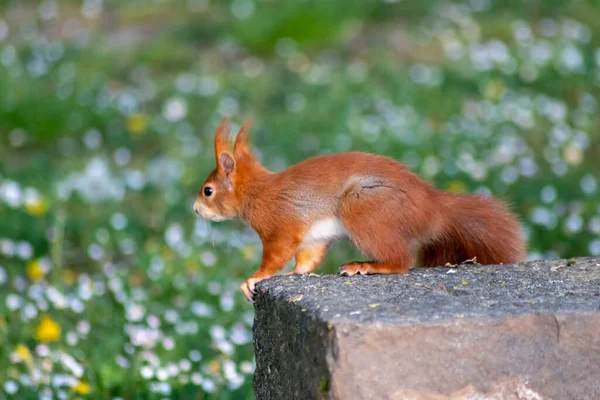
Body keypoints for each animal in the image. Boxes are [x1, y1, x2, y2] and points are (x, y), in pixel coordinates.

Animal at [192, 117, 524, 302]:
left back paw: (365, 265)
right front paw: (292, 274)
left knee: (400, 261)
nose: (195, 209)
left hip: (362, 207)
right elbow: (307, 259)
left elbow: (276, 254)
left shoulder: (280, 224)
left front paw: (255, 278)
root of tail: (434, 209)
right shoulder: (312, 237)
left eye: (208, 191)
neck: (257, 191)